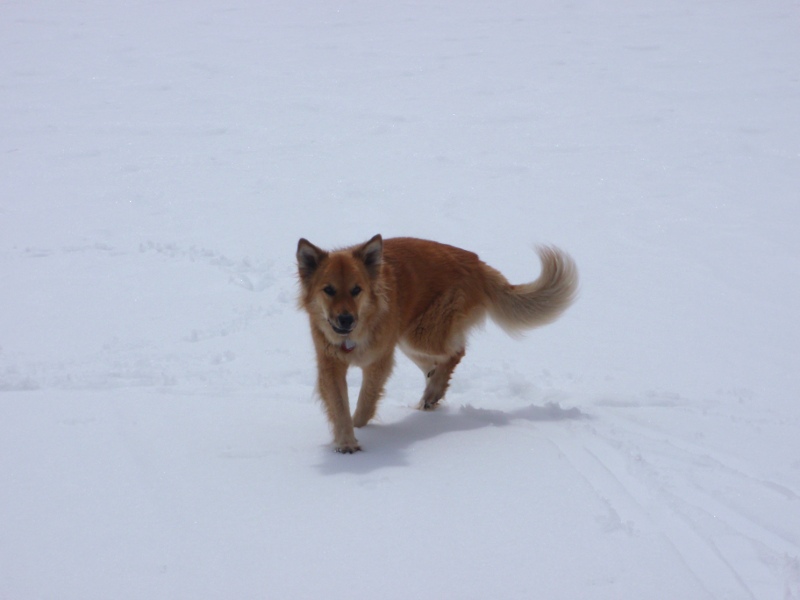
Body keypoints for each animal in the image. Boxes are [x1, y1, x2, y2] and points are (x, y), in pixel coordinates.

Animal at [296, 233, 580, 450]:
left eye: (356, 290)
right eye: (329, 290)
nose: (345, 320)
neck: (353, 337)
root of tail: (477, 263)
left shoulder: (379, 361)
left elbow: (365, 402)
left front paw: (358, 430)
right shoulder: (330, 365)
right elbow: (339, 406)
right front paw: (346, 441)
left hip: (418, 334)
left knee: (456, 352)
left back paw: (433, 392)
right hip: (409, 339)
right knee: (436, 365)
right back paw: (432, 395)